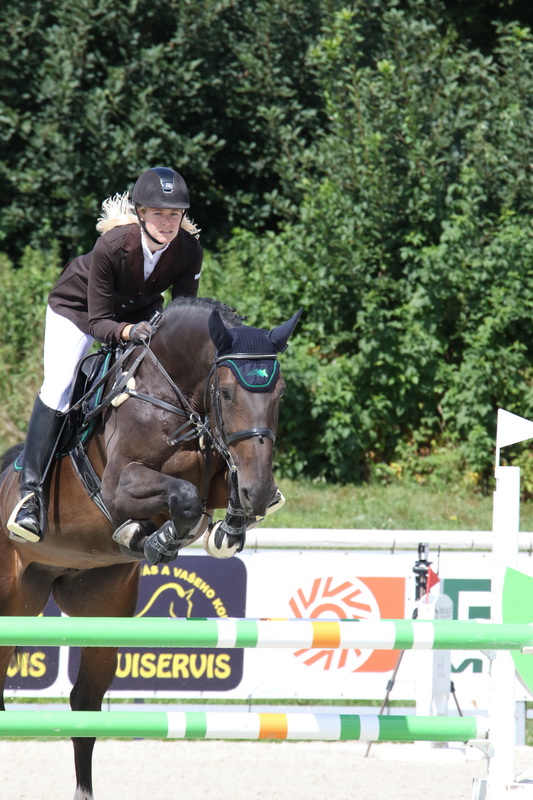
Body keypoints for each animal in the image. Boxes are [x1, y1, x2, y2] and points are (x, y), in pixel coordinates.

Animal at [0, 296, 301, 800]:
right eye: (226, 394)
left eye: (278, 395)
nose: (260, 490)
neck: (174, 397)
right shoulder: (121, 485)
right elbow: (184, 497)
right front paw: (153, 538)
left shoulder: (222, 469)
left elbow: (212, 496)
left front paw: (226, 528)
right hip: (12, 601)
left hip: (96, 609)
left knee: (85, 705)